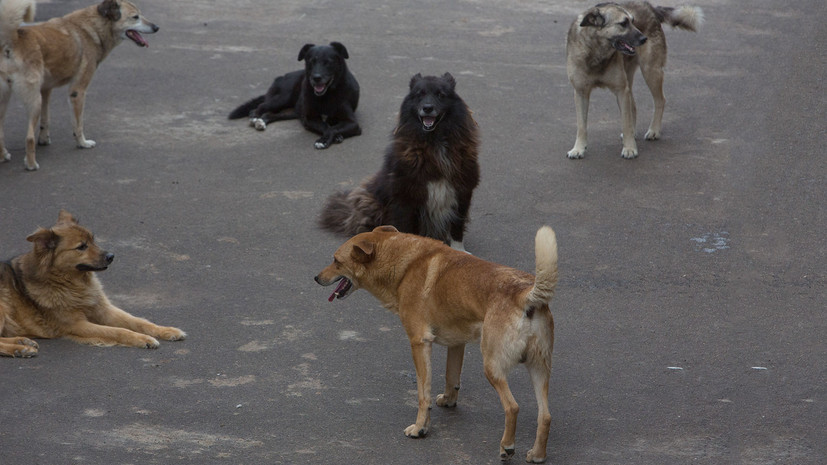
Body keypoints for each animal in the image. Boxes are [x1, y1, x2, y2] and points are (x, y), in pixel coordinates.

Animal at [0, 0, 158, 170]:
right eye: (135, 17)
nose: (156, 27)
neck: (91, 28)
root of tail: (11, 39)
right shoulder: (78, 91)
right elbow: (78, 123)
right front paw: (82, 143)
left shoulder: (45, 90)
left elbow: (46, 119)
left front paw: (44, 140)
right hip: (33, 102)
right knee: (28, 138)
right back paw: (31, 165)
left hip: (9, 101)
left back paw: (3, 156)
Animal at [1, 208, 186, 358]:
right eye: (82, 247)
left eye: (93, 240)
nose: (111, 256)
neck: (70, 283)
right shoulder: (77, 325)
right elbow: (119, 331)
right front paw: (143, 338)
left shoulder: (103, 309)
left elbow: (138, 321)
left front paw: (167, 330)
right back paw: (20, 349)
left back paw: (22, 342)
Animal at [228, 42, 360, 149]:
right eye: (311, 61)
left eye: (327, 62)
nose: (316, 78)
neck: (327, 95)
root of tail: (281, 77)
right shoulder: (309, 118)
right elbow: (326, 127)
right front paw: (324, 140)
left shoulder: (352, 123)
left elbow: (333, 128)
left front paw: (330, 138)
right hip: (282, 99)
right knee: (260, 107)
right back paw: (255, 117)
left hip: (294, 111)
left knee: (271, 114)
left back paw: (261, 121)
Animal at [316, 224, 564, 460]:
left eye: (336, 261)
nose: (316, 278)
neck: (404, 262)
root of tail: (525, 295)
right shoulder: (456, 344)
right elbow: (451, 377)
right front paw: (448, 400)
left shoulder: (419, 343)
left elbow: (422, 393)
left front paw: (420, 428)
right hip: (539, 370)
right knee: (546, 416)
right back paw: (537, 455)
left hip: (493, 368)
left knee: (512, 407)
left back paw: (507, 447)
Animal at [568, 1, 700, 159]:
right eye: (623, 23)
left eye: (633, 21)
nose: (644, 39)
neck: (597, 51)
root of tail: (650, 7)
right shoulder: (580, 93)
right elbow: (581, 126)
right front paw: (578, 149)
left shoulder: (621, 91)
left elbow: (626, 123)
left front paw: (630, 148)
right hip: (630, 81)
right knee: (634, 106)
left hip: (650, 71)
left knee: (660, 100)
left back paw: (654, 130)